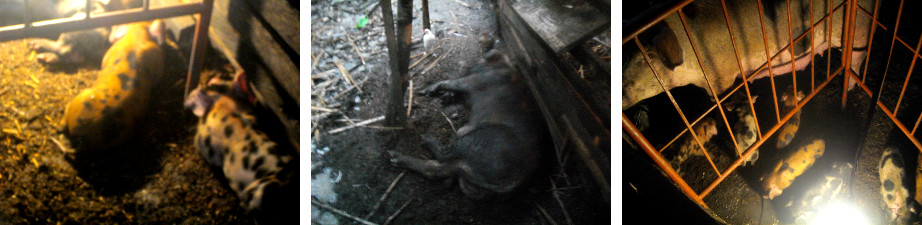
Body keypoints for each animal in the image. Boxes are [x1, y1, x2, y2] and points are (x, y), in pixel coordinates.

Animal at [386, 48, 548, 199]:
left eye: (480, 61)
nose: (467, 67)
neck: (502, 66)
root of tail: (513, 181)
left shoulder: (475, 81)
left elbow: (450, 82)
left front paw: (424, 91)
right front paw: (444, 98)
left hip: (479, 140)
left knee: (443, 156)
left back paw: (421, 140)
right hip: (468, 164)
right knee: (435, 169)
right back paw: (395, 156)